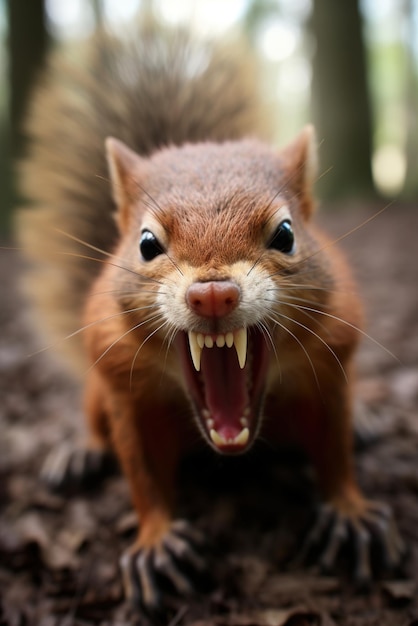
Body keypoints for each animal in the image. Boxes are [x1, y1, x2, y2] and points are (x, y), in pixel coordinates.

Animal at [15, 15, 402, 616]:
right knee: (96, 427)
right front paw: (155, 543)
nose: (214, 295)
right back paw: (80, 453)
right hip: (96, 393)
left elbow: (336, 452)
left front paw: (350, 512)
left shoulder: (332, 368)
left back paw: (366, 424)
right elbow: (142, 474)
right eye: (146, 244)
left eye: (286, 234)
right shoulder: (125, 392)